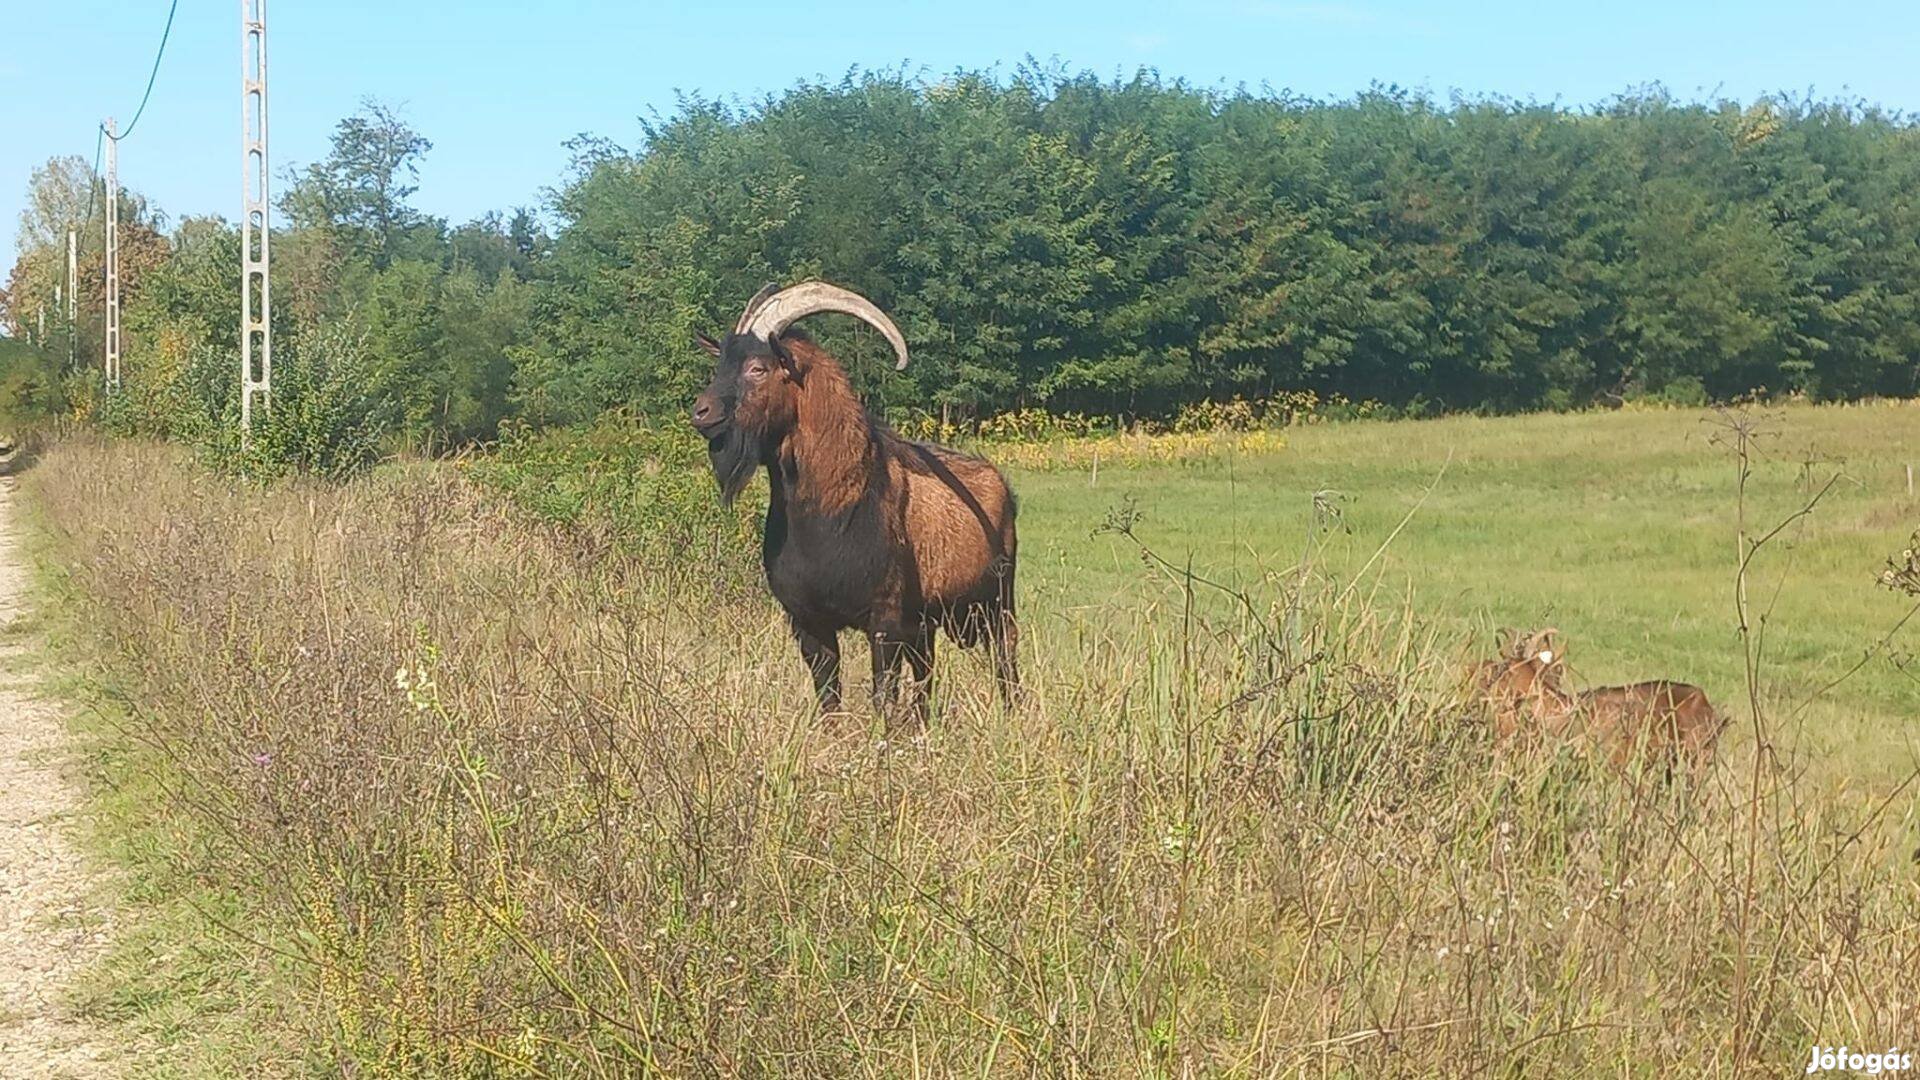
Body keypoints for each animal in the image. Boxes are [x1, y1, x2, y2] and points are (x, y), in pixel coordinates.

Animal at [691, 282, 1021, 726]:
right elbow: (829, 696)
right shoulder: (808, 623)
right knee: (927, 673)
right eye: (720, 364)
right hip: (927, 624)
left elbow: (883, 694)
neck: (831, 509)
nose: (701, 412)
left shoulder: (885, 619)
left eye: (757, 368)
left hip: (997, 603)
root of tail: (998, 482)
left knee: (1005, 657)